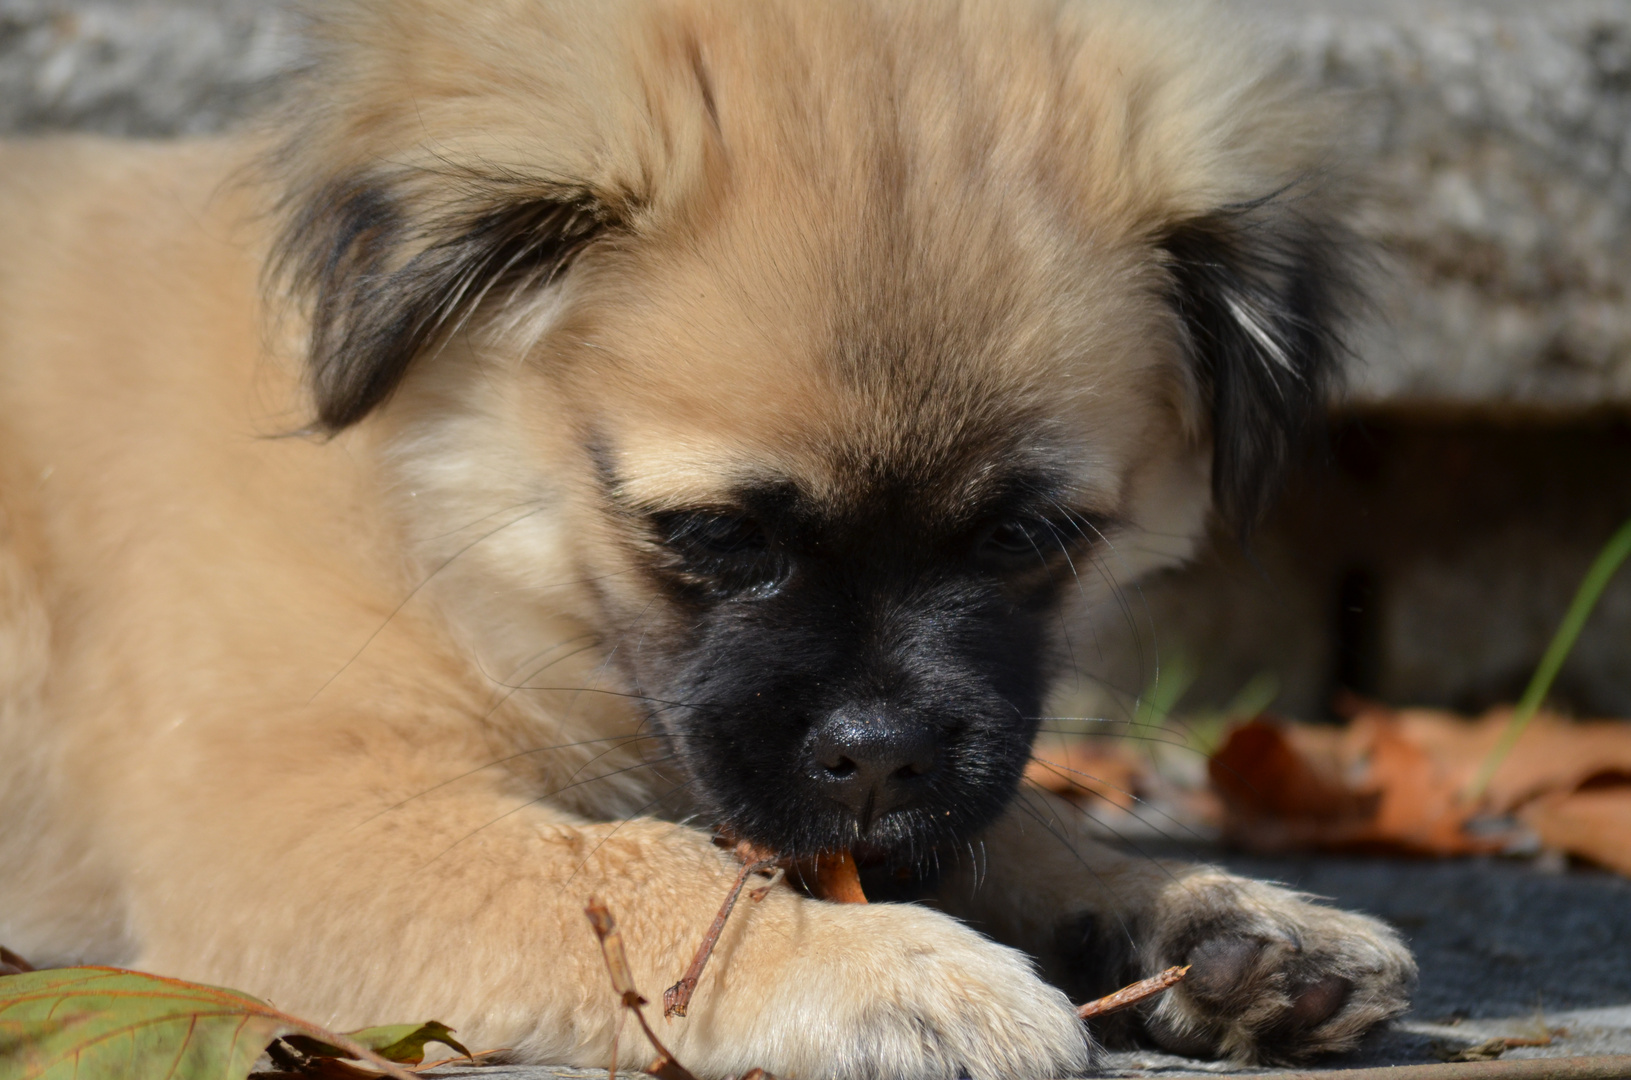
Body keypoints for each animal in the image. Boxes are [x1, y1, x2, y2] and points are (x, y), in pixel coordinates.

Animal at [0, 0, 1415, 1076]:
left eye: (1023, 535)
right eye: (717, 535)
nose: (878, 751)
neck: (433, 518)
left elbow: (1008, 831)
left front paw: (1201, 920)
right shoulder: (297, 819)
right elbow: (617, 868)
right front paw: (876, 967)